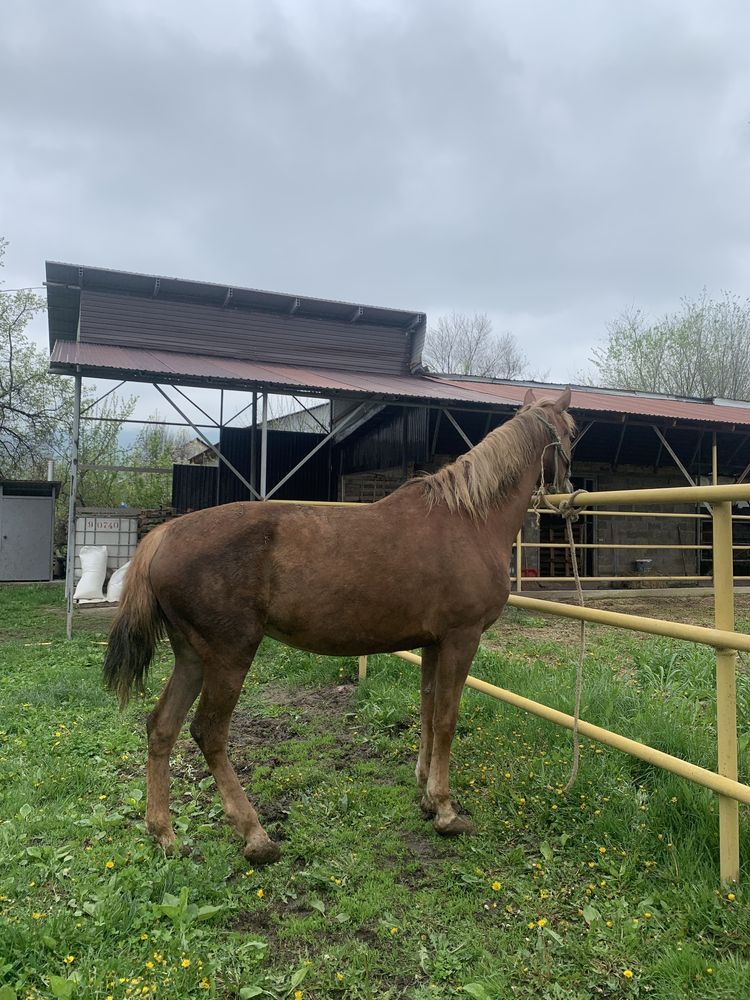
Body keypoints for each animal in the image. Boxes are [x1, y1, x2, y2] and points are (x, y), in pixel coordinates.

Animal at [104, 386, 576, 864]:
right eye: (573, 433)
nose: (569, 490)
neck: (468, 518)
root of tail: (164, 536)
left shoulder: (434, 643)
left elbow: (427, 711)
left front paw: (426, 794)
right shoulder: (462, 638)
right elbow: (446, 718)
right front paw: (445, 810)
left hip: (192, 657)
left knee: (162, 727)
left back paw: (164, 833)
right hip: (229, 656)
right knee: (209, 732)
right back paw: (255, 835)